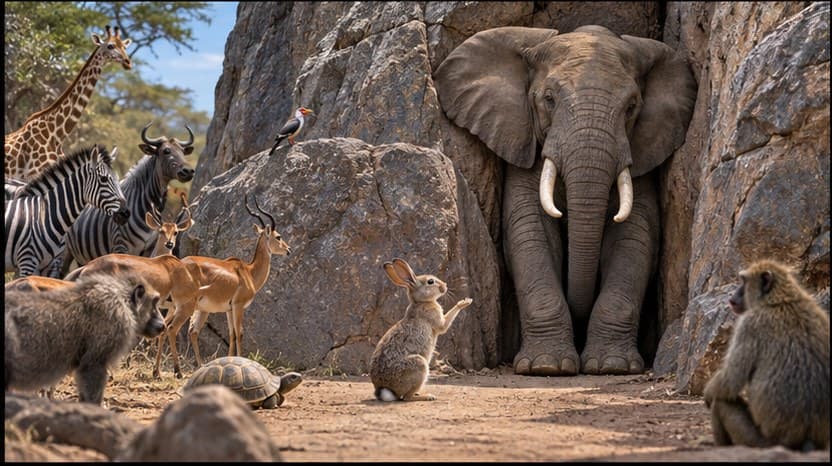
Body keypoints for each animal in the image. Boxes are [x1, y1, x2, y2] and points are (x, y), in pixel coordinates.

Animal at [434, 25, 696, 375]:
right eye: (549, 99)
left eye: (631, 107)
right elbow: (529, 233)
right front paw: (546, 367)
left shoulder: (641, 158)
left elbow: (635, 237)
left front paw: (610, 366)